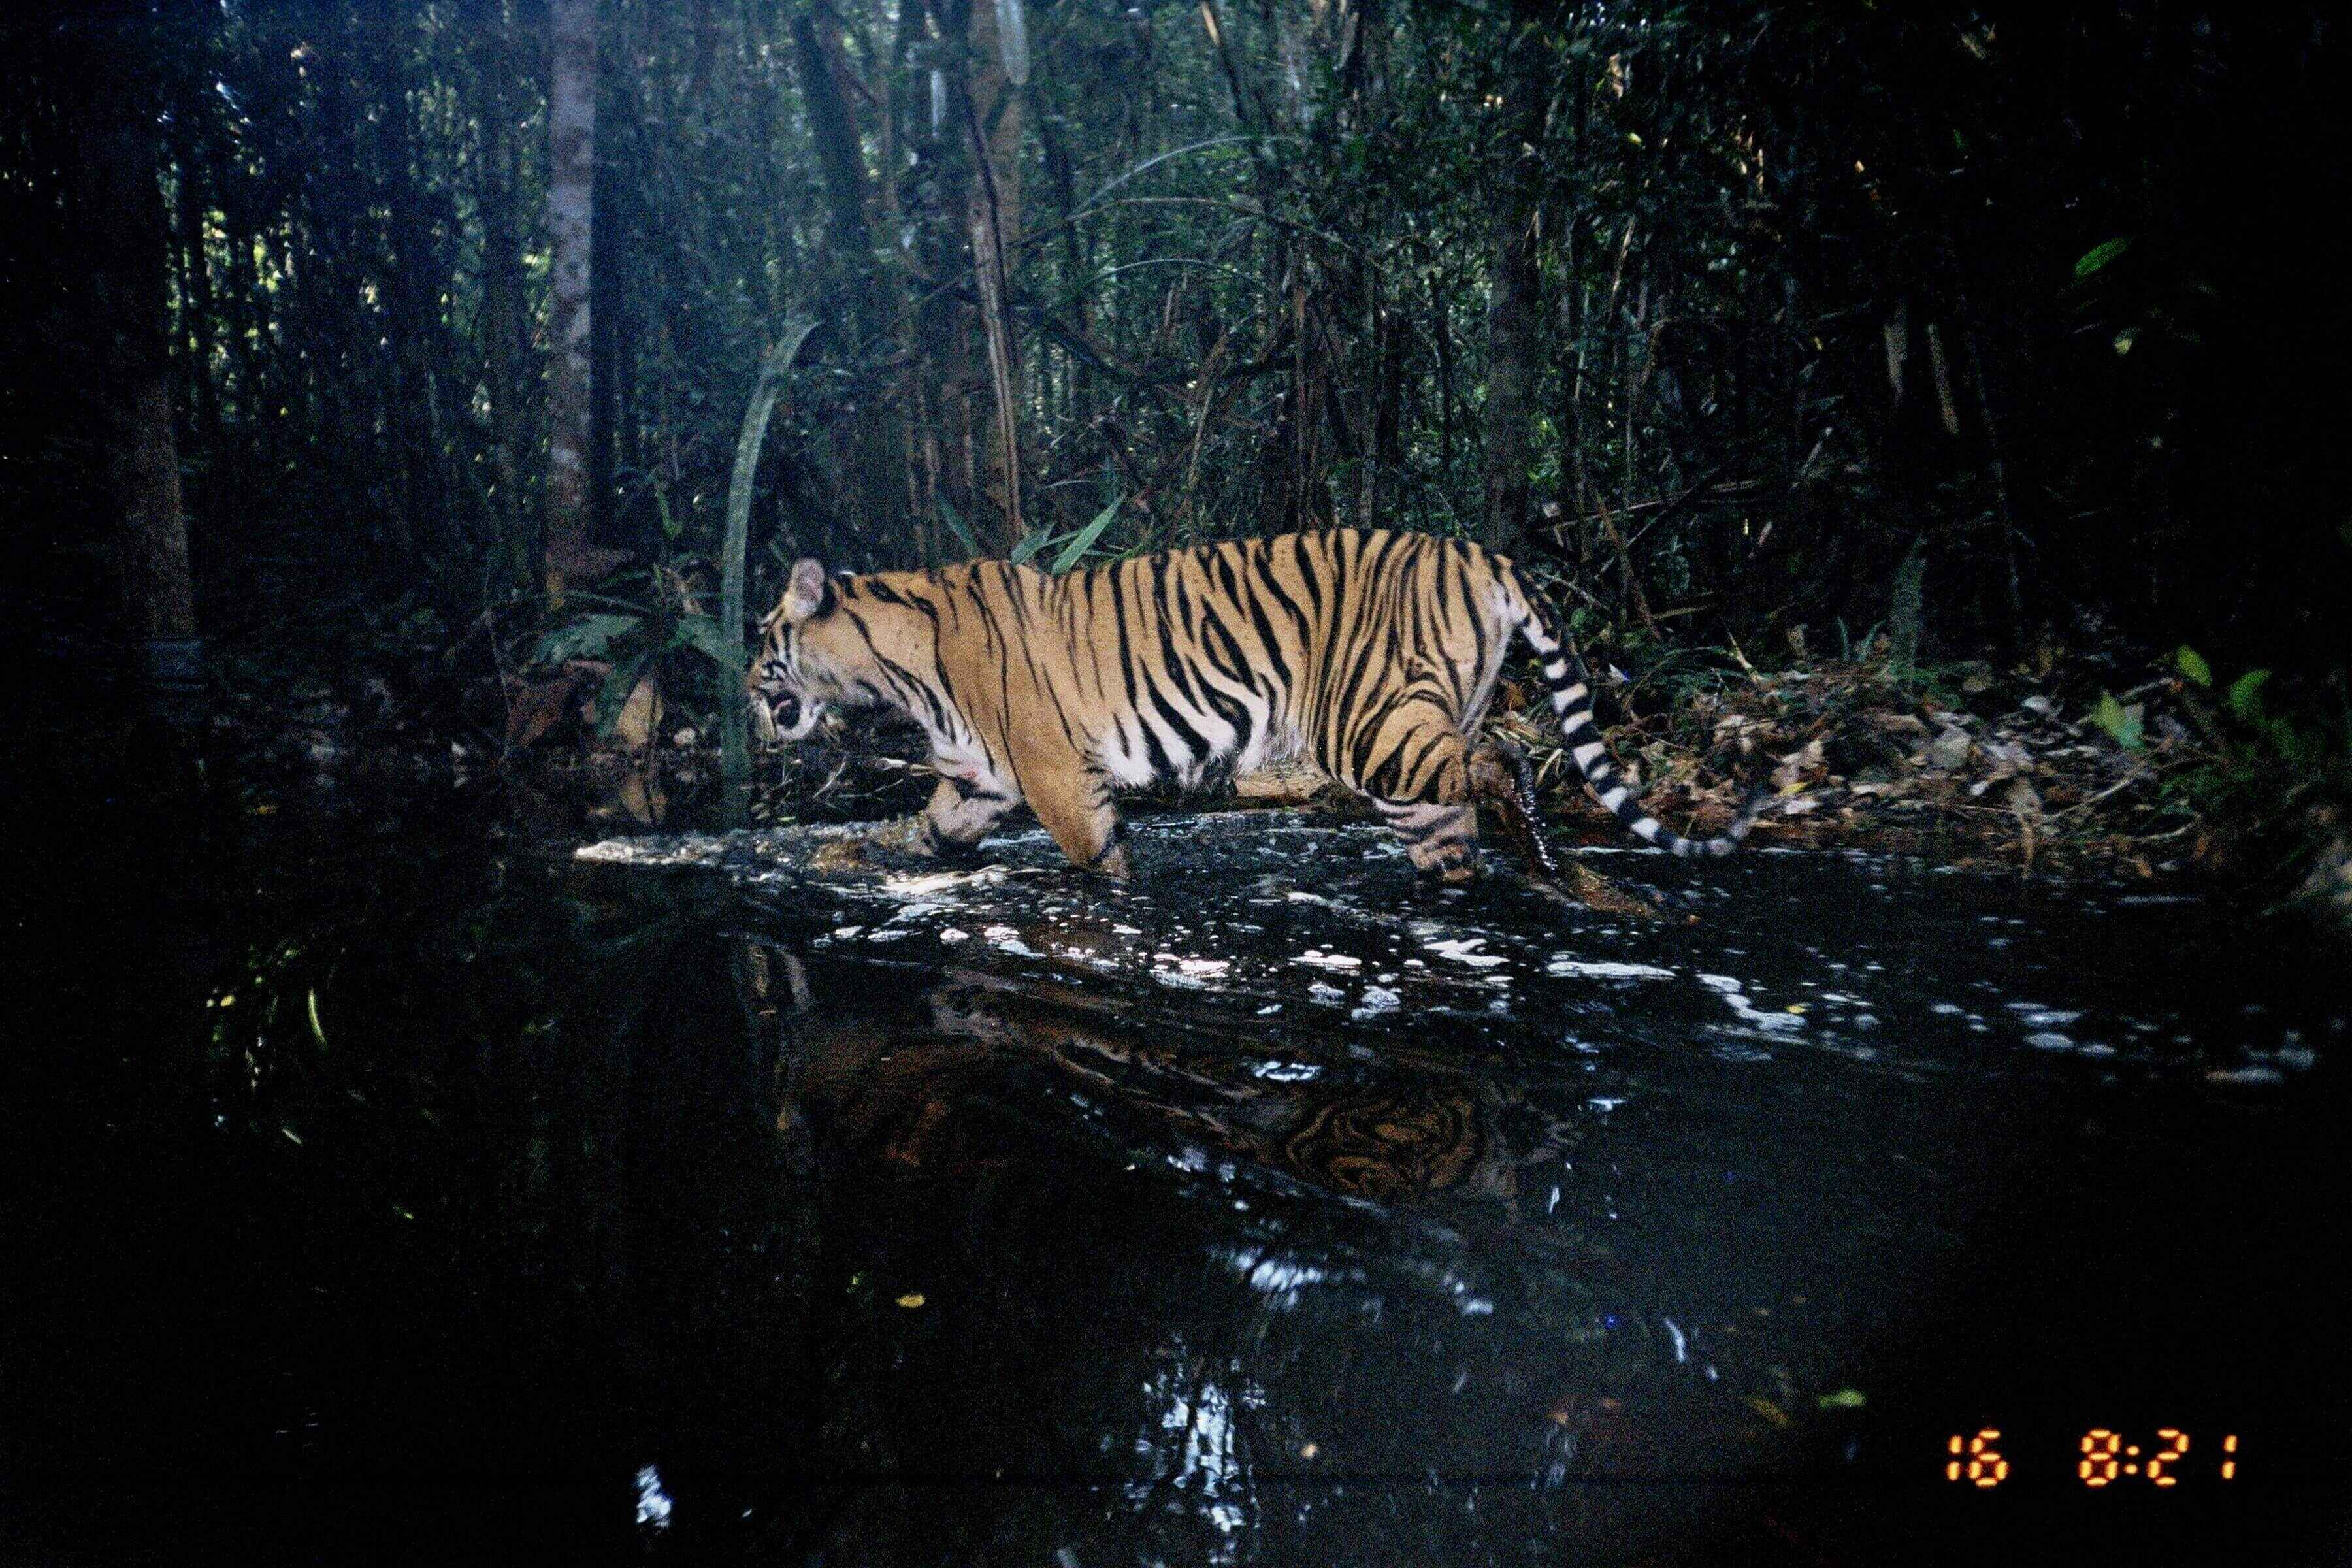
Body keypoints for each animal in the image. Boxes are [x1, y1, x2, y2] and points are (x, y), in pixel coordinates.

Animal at [747, 528, 1759, 882]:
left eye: (761, 646)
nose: (750, 700)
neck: (893, 665)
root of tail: (1479, 550)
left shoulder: (1053, 777)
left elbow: (1099, 863)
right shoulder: (980, 779)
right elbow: (929, 832)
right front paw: (859, 857)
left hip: (1369, 728)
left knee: (1501, 759)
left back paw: (1535, 840)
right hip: (1415, 749)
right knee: (1454, 829)